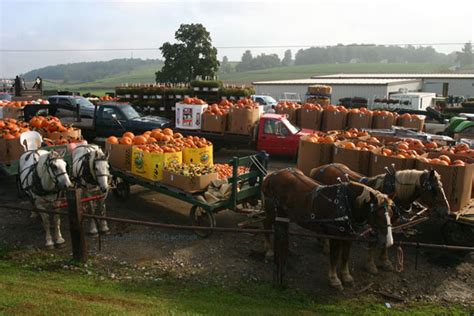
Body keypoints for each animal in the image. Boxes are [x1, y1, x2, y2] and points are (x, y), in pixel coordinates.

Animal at [262, 169, 394, 290]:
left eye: (391, 214)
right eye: (377, 215)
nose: (388, 242)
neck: (346, 203)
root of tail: (271, 175)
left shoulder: (348, 236)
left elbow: (345, 256)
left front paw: (346, 277)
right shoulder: (335, 235)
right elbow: (334, 257)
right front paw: (334, 280)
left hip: (283, 214)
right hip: (272, 211)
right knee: (266, 226)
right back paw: (269, 251)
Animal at [310, 163, 450, 274]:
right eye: (435, 190)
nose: (446, 211)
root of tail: (320, 168)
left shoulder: (389, 221)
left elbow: (387, 237)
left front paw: (385, 261)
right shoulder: (374, 222)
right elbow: (373, 241)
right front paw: (371, 265)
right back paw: (325, 245)